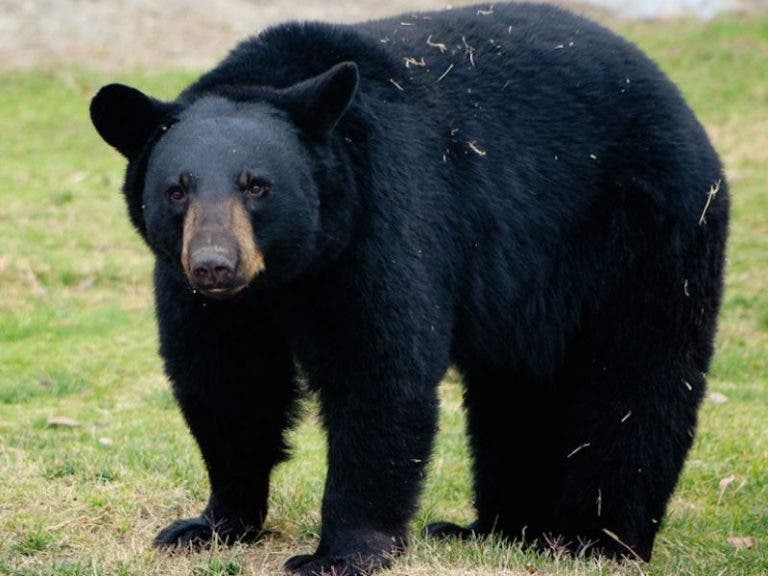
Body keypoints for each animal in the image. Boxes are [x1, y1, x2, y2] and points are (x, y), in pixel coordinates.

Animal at [88, 2, 728, 572]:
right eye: (176, 190)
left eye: (257, 185)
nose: (215, 265)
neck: (289, 273)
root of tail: (679, 102)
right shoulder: (205, 299)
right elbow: (226, 383)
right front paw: (211, 523)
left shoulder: (385, 216)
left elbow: (378, 368)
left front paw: (340, 554)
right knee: (517, 387)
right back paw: (495, 529)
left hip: (644, 232)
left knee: (635, 380)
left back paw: (594, 540)